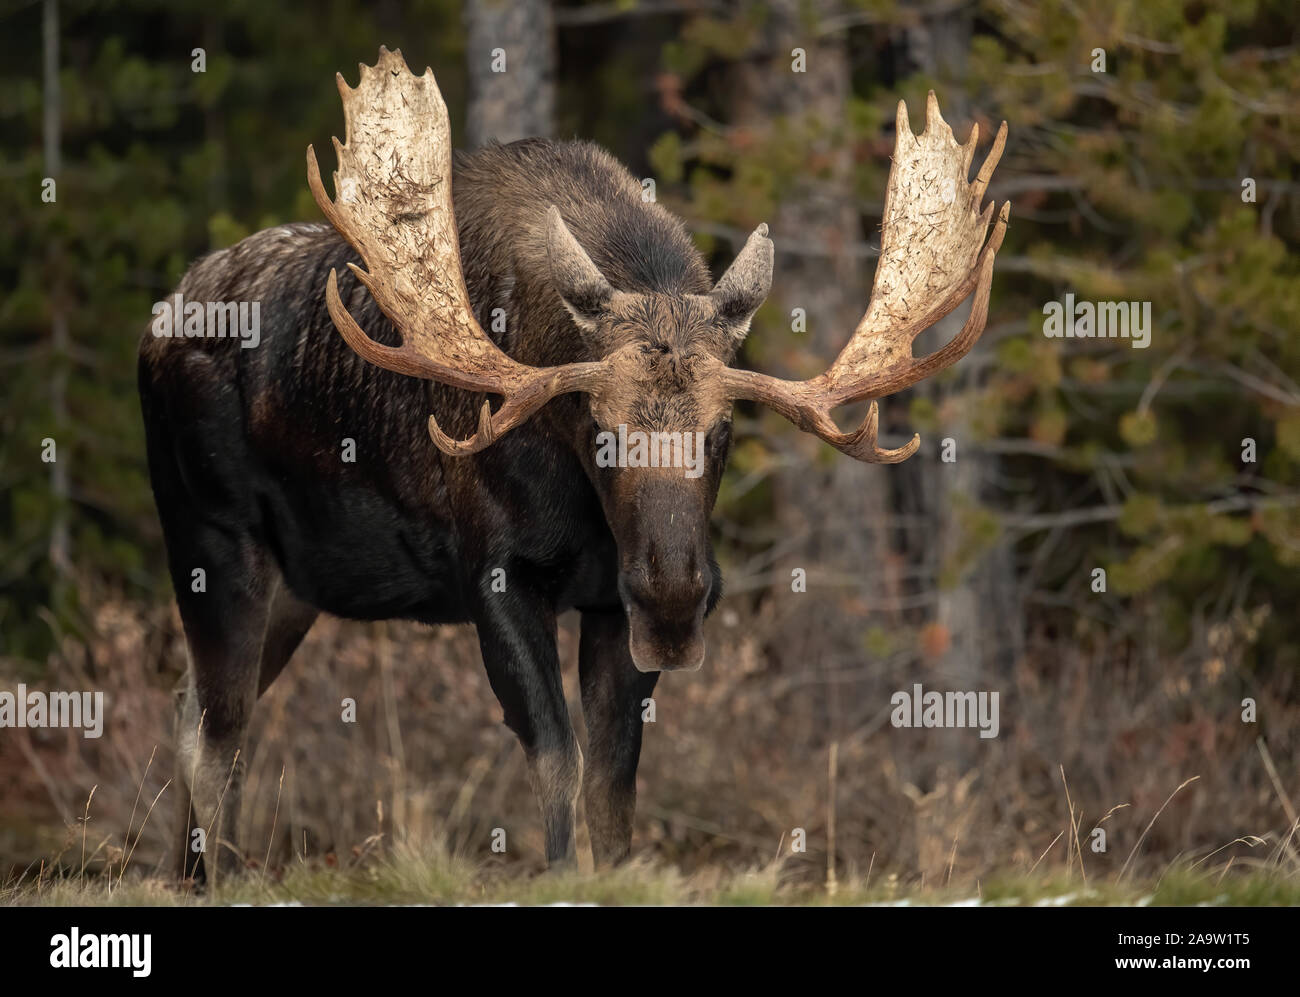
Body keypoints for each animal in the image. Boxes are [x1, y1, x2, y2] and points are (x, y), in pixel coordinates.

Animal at [139, 46, 1013, 883]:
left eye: (723, 431)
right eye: (601, 428)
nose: (674, 595)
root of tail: (158, 322)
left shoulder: (609, 605)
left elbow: (613, 780)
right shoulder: (495, 575)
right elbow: (557, 759)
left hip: (296, 588)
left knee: (196, 709)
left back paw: (193, 872)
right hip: (212, 540)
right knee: (213, 734)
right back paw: (217, 875)